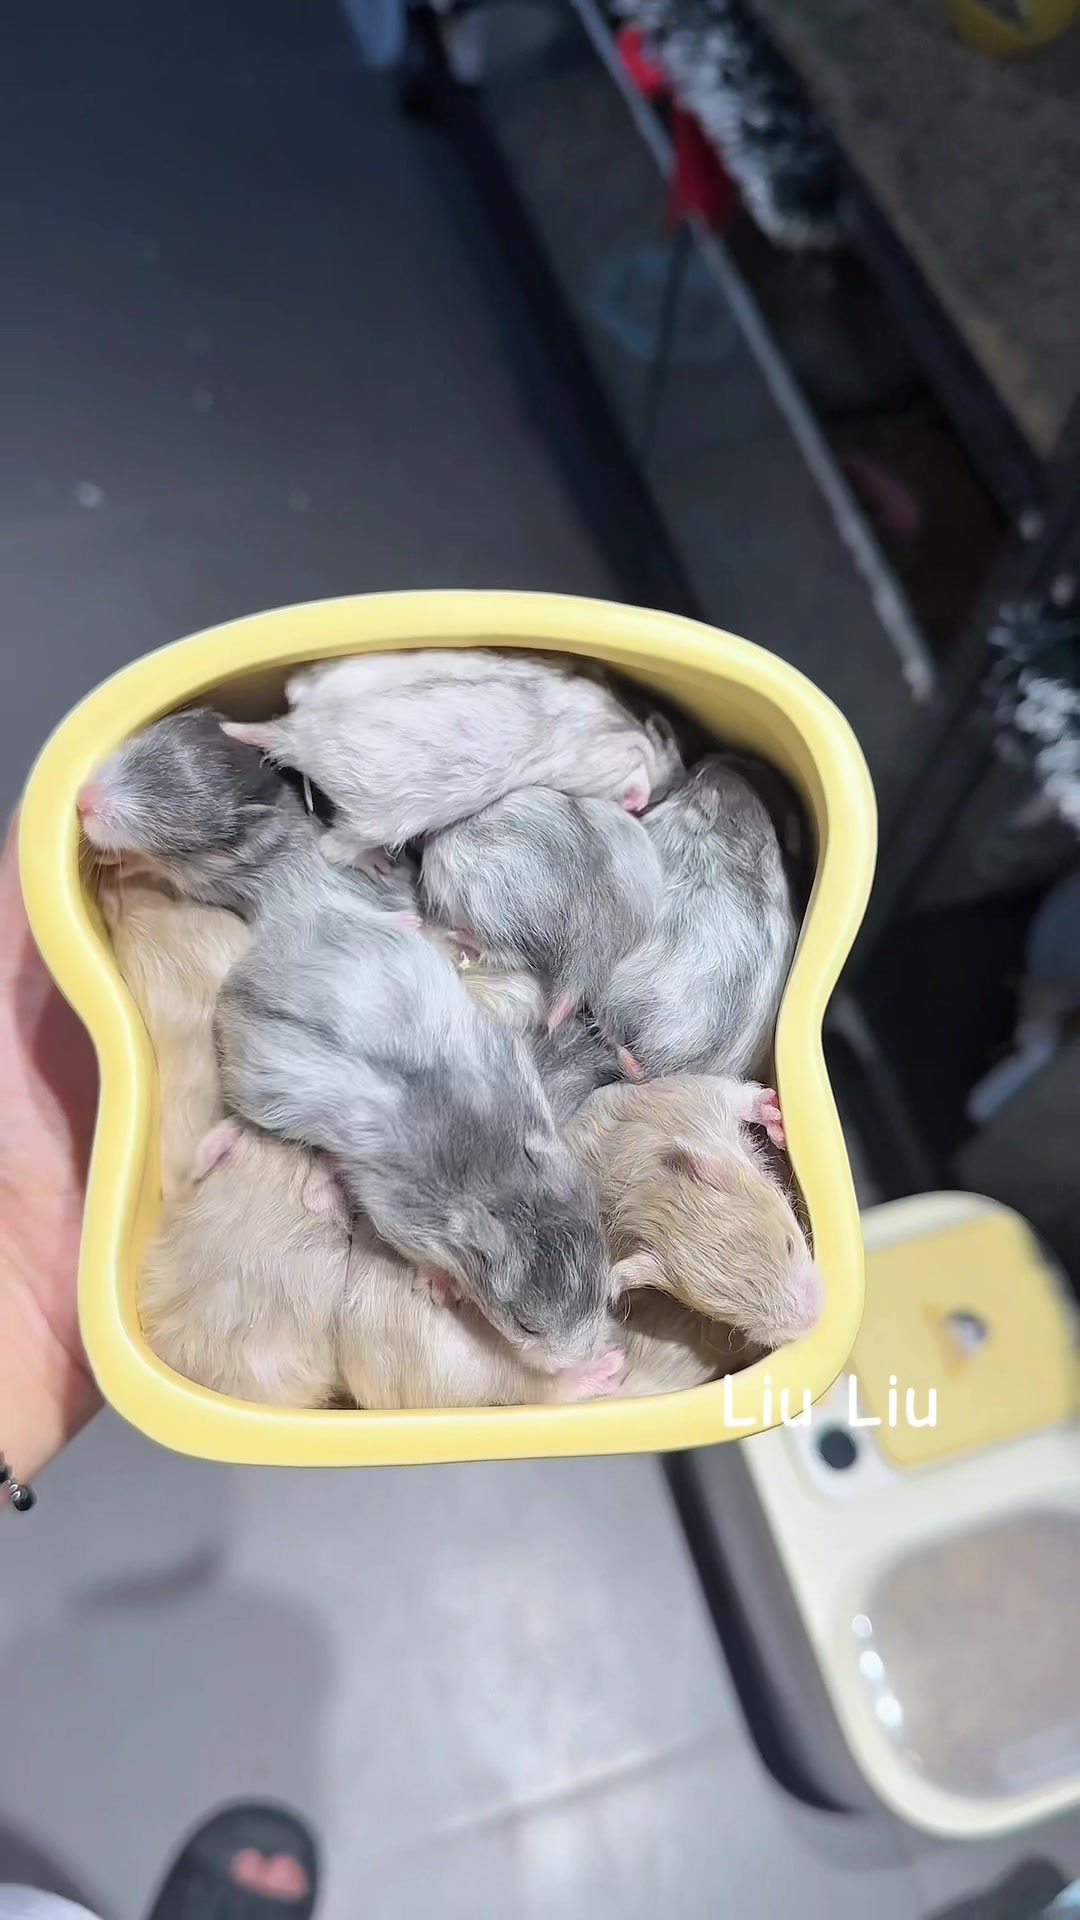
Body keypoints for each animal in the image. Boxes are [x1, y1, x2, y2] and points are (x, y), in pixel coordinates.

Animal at [566, 1075, 822, 1351]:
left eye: (789, 1245)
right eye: (728, 1313)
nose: (814, 1322)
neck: (650, 1195)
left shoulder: (703, 1094)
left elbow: (742, 1098)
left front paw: (775, 1119)